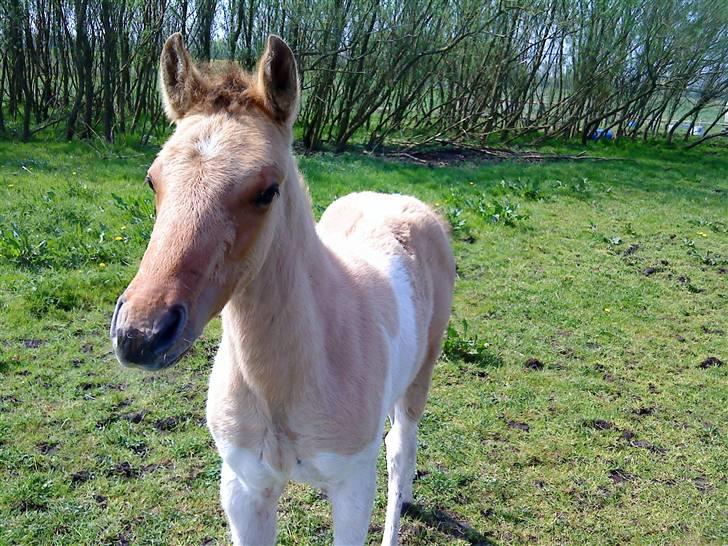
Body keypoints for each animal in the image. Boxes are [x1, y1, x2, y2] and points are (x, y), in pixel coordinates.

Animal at [111, 34, 456, 544]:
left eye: (267, 191)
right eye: (152, 180)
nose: (141, 334)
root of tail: (401, 200)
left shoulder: (353, 487)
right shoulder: (244, 487)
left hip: (420, 376)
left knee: (400, 451)